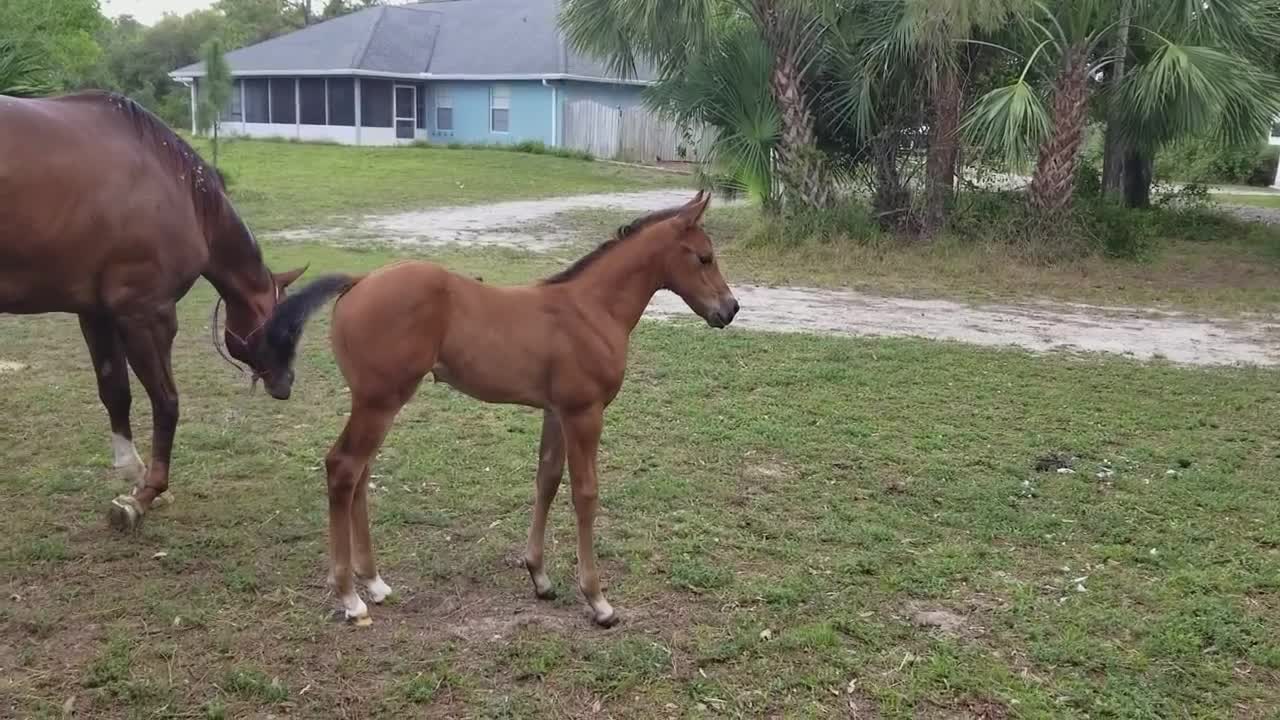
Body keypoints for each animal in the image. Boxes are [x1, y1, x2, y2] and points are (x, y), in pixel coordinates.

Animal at [0, 89, 304, 530]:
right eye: (284, 327)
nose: (285, 383)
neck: (174, 186)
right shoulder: (146, 315)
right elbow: (166, 401)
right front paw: (146, 493)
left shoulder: (96, 313)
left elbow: (115, 391)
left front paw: (135, 474)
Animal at [257, 189, 742, 622]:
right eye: (704, 257)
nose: (730, 309)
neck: (591, 309)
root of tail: (358, 282)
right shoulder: (584, 413)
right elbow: (585, 494)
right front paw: (598, 601)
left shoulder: (555, 412)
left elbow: (547, 480)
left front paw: (540, 578)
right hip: (379, 402)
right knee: (343, 467)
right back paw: (349, 598)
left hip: (377, 403)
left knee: (360, 473)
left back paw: (374, 584)